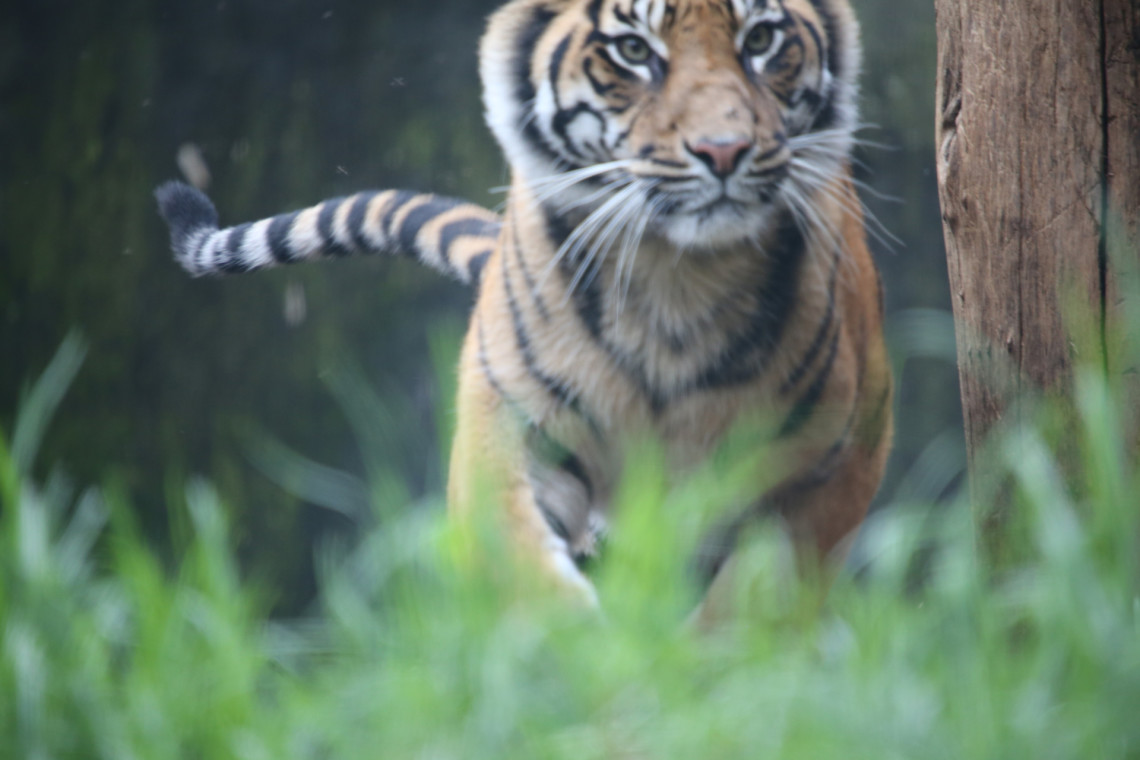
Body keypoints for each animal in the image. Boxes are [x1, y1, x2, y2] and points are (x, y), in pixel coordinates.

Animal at [156, 0, 892, 612]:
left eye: (761, 40)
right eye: (632, 50)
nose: (723, 150)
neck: (678, 277)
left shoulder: (840, 456)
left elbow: (762, 598)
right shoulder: (513, 427)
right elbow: (519, 557)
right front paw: (566, 648)